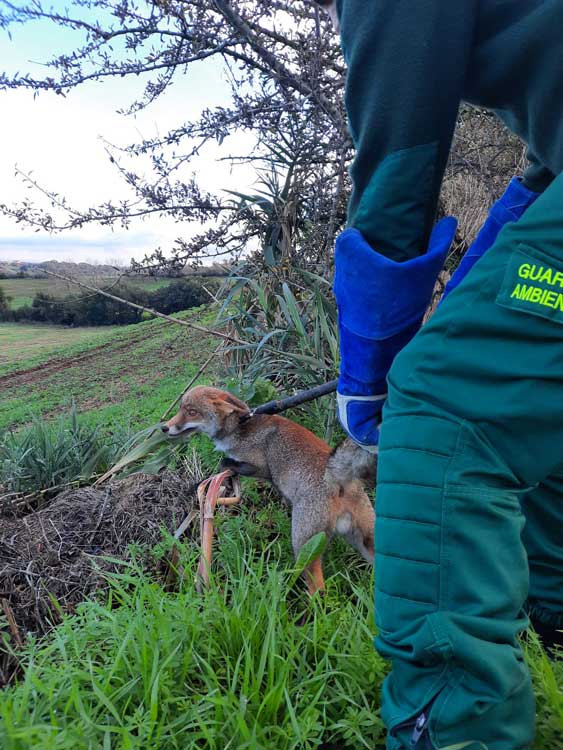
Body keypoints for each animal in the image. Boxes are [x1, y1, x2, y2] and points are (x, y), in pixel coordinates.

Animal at [161, 388, 376, 592]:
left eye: (192, 412)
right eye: (180, 409)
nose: (164, 427)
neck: (240, 429)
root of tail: (338, 476)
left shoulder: (260, 467)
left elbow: (226, 462)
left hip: (303, 546)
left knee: (318, 590)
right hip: (367, 539)